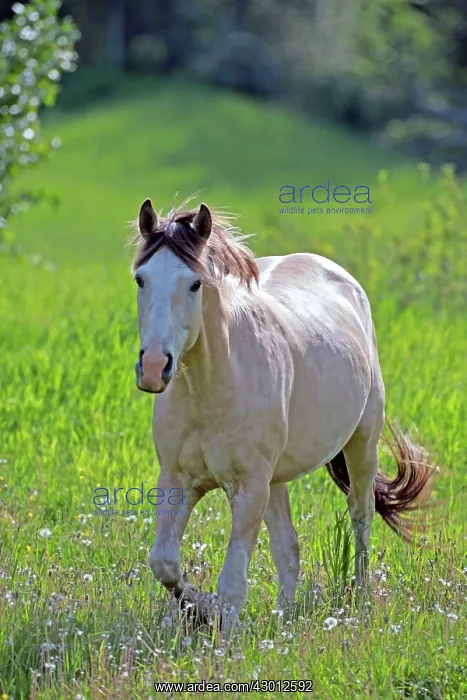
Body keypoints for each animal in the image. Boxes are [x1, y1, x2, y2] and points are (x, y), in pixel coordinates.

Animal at [131, 198, 432, 629]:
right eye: (141, 279)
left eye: (195, 283)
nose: (155, 367)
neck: (212, 389)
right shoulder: (177, 480)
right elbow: (164, 563)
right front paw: (201, 611)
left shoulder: (249, 488)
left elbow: (232, 583)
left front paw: (220, 627)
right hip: (276, 481)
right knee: (288, 547)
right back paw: (284, 621)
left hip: (362, 445)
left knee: (361, 514)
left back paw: (360, 601)